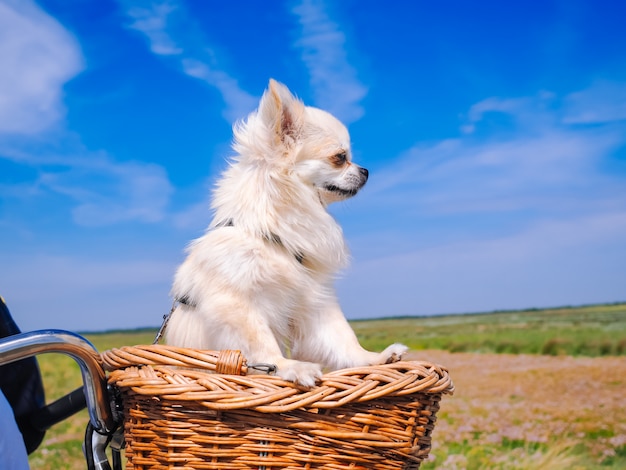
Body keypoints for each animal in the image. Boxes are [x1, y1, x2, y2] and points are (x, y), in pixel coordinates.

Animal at [166, 79, 408, 386]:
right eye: (340, 158)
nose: (366, 170)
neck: (272, 237)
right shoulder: (236, 305)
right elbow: (261, 345)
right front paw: (290, 367)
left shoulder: (313, 300)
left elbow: (342, 339)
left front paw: (374, 358)